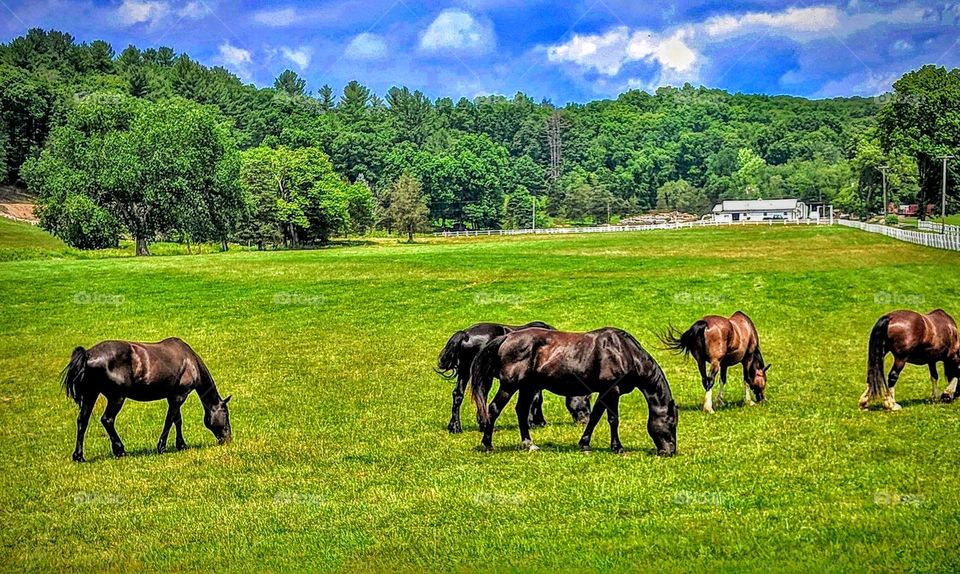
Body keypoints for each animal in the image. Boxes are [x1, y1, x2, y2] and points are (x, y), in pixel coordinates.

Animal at [60, 338, 232, 462]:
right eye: (226, 413)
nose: (228, 438)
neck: (190, 361)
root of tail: (88, 354)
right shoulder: (179, 396)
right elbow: (170, 420)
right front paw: (162, 447)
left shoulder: (173, 397)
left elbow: (177, 420)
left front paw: (181, 445)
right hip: (116, 398)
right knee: (107, 420)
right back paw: (120, 450)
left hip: (91, 395)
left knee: (82, 421)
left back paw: (79, 456)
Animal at [437, 321, 591, 433]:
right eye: (587, 399)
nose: (585, 421)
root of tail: (466, 334)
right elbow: (536, 399)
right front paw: (535, 422)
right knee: (481, 396)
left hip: (464, 372)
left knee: (458, 395)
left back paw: (455, 427)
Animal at [469, 327, 677, 456]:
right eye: (672, 423)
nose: (670, 451)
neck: (622, 352)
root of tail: (506, 338)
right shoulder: (612, 391)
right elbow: (613, 420)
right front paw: (617, 447)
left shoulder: (603, 393)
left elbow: (594, 418)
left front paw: (584, 444)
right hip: (509, 385)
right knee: (494, 409)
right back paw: (487, 444)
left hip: (528, 387)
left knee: (521, 411)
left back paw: (529, 444)